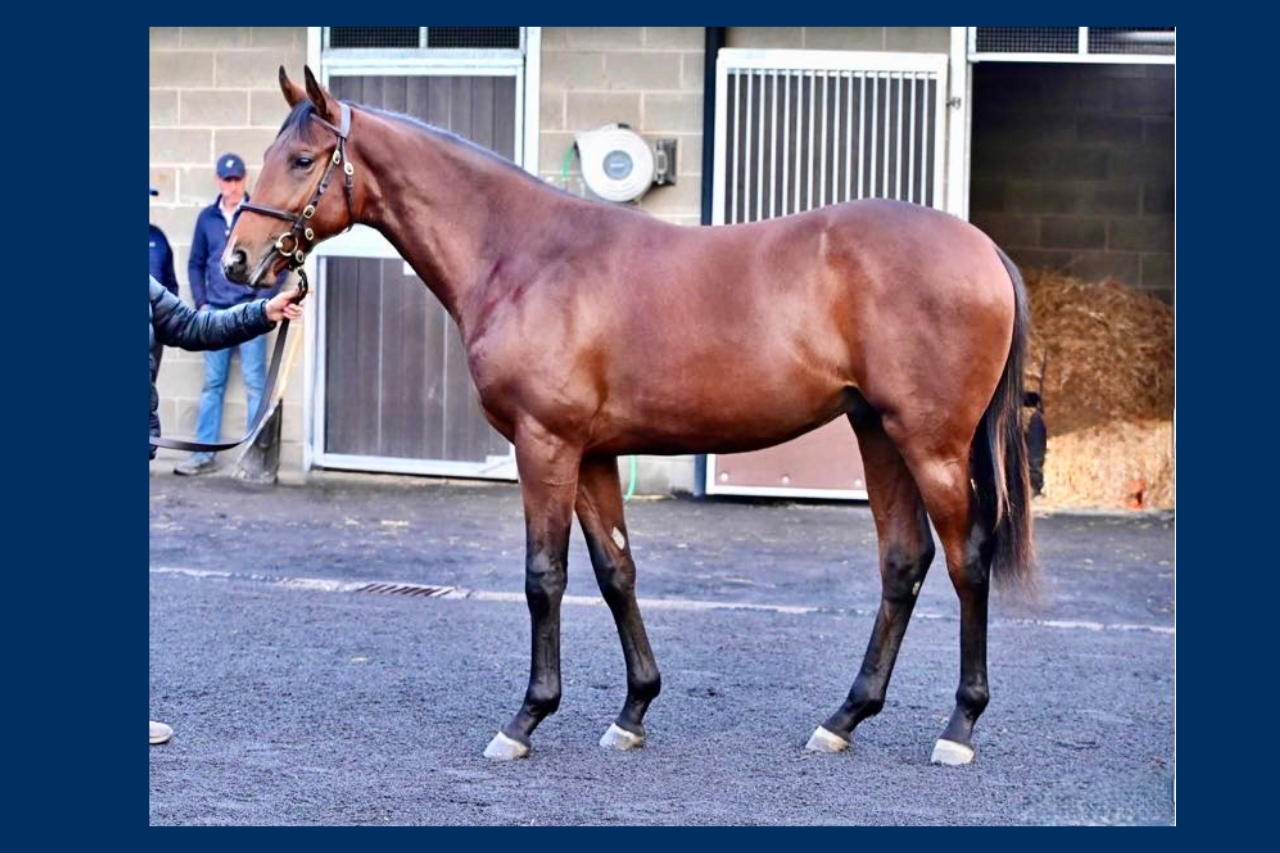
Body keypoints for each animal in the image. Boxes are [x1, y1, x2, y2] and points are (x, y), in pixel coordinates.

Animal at [224, 66, 1037, 765]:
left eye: (302, 158)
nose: (238, 261)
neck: (523, 255)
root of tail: (984, 250)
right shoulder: (592, 453)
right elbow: (616, 570)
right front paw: (633, 711)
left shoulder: (545, 444)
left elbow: (544, 575)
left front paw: (525, 719)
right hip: (878, 433)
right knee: (904, 561)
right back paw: (843, 719)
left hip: (930, 442)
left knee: (966, 561)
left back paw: (959, 726)